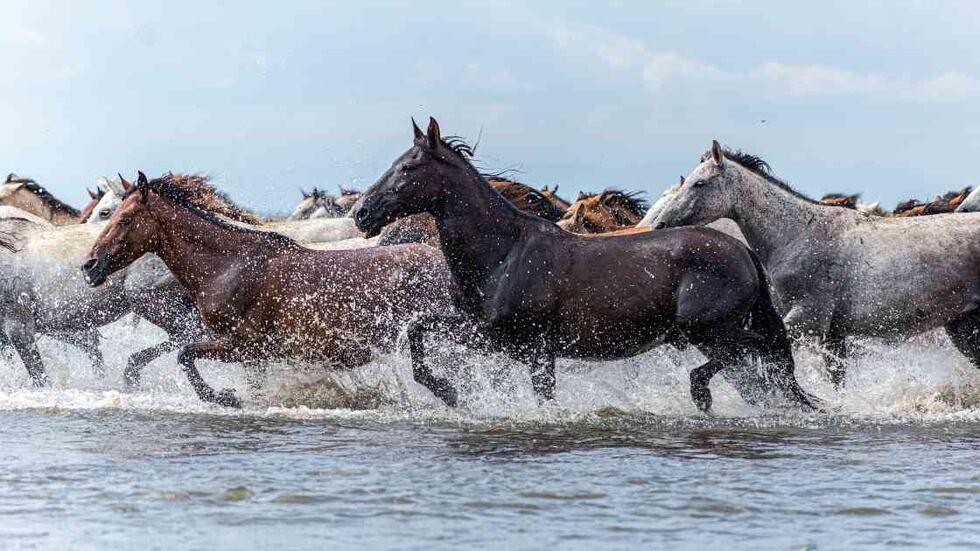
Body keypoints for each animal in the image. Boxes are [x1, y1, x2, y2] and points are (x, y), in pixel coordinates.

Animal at [83, 172, 454, 408]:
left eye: (123, 218)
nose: (89, 266)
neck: (227, 267)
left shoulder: (243, 345)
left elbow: (185, 354)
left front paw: (225, 397)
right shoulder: (252, 355)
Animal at [352, 118, 816, 413]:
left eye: (408, 167)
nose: (361, 213)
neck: (502, 255)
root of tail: (743, 252)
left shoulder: (536, 349)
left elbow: (545, 397)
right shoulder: (492, 337)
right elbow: (417, 332)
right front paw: (451, 394)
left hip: (706, 330)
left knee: (760, 353)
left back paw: (702, 394)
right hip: (706, 335)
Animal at [652, 141, 980, 386]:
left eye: (699, 183)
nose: (659, 224)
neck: (798, 234)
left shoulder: (808, 319)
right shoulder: (834, 333)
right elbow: (836, 378)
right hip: (962, 327)